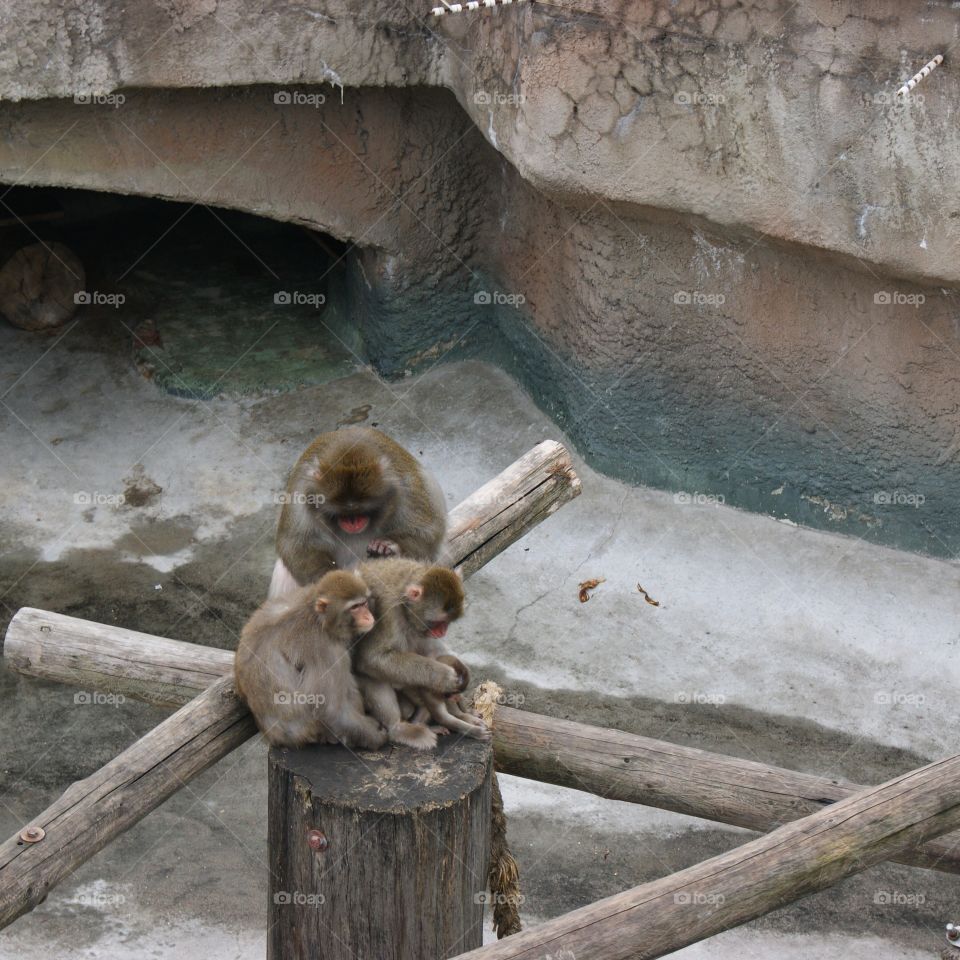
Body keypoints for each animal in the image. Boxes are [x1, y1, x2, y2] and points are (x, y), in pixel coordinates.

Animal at [235, 570, 387, 750]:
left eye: (364, 603)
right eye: (355, 607)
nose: (369, 617)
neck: (317, 617)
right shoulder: (325, 649)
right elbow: (330, 709)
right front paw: (377, 736)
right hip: (308, 730)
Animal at [269, 427, 447, 599]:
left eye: (361, 509)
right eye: (343, 513)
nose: (353, 521)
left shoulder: (405, 485)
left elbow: (427, 532)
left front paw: (388, 546)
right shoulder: (300, 490)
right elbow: (296, 543)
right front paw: (326, 576)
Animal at [352, 557, 472, 751]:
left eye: (448, 622)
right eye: (439, 622)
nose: (443, 631)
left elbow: (429, 647)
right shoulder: (386, 611)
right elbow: (372, 658)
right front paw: (443, 676)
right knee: (374, 674)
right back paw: (398, 728)